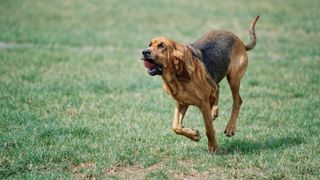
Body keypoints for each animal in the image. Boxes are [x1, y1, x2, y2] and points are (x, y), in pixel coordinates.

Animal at [141, 16, 258, 153]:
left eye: (162, 46)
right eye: (150, 45)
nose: (144, 52)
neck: (176, 77)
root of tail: (240, 41)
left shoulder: (203, 105)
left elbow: (209, 130)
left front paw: (213, 148)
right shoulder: (182, 103)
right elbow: (175, 127)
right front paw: (195, 135)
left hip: (233, 78)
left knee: (237, 101)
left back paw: (230, 128)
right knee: (217, 89)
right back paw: (215, 111)